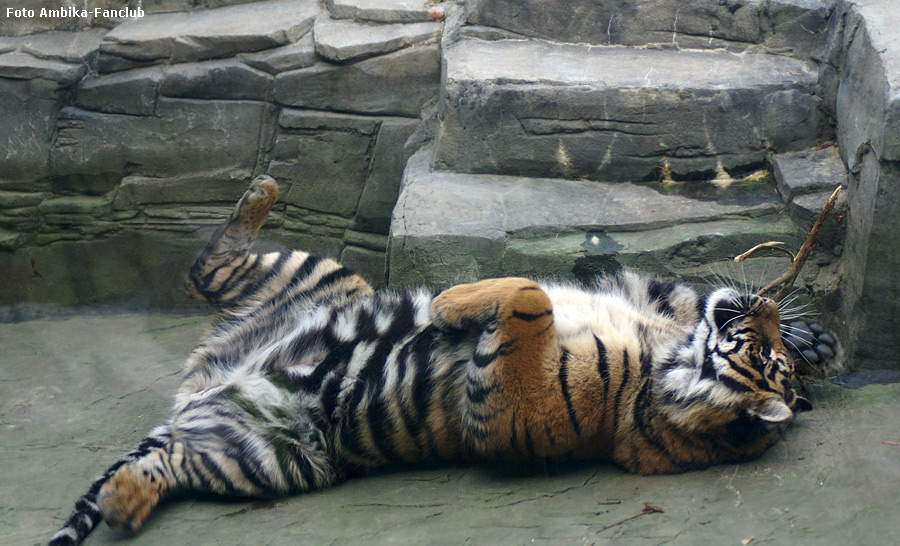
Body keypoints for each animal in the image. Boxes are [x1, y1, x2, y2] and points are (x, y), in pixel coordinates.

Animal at [52, 175, 820, 544]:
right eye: (769, 346)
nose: (765, 303)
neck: (662, 366)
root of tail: (205, 389)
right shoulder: (639, 297)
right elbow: (566, 285)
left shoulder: (511, 403)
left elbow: (532, 297)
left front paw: (450, 301)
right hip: (315, 277)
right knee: (207, 267)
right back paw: (260, 193)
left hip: (264, 456)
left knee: (173, 451)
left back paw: (124, 502)